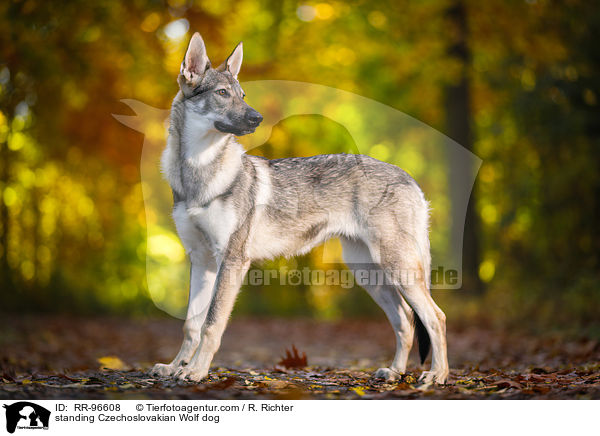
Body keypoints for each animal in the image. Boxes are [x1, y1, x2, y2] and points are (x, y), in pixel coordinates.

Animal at [152, 32, 448, 384]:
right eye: (223, 94)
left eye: (242, 95)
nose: (257, 118)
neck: (198, 173)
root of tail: (409, 178)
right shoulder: (201, 261)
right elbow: (191, 325)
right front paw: (175, 367)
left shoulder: (232, 261)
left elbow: (212, 324)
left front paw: (196, 372)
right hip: (369, 273)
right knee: (405, 320)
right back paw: (394, 372)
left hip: (396, 269)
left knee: (436, 317)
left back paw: (437, 376)